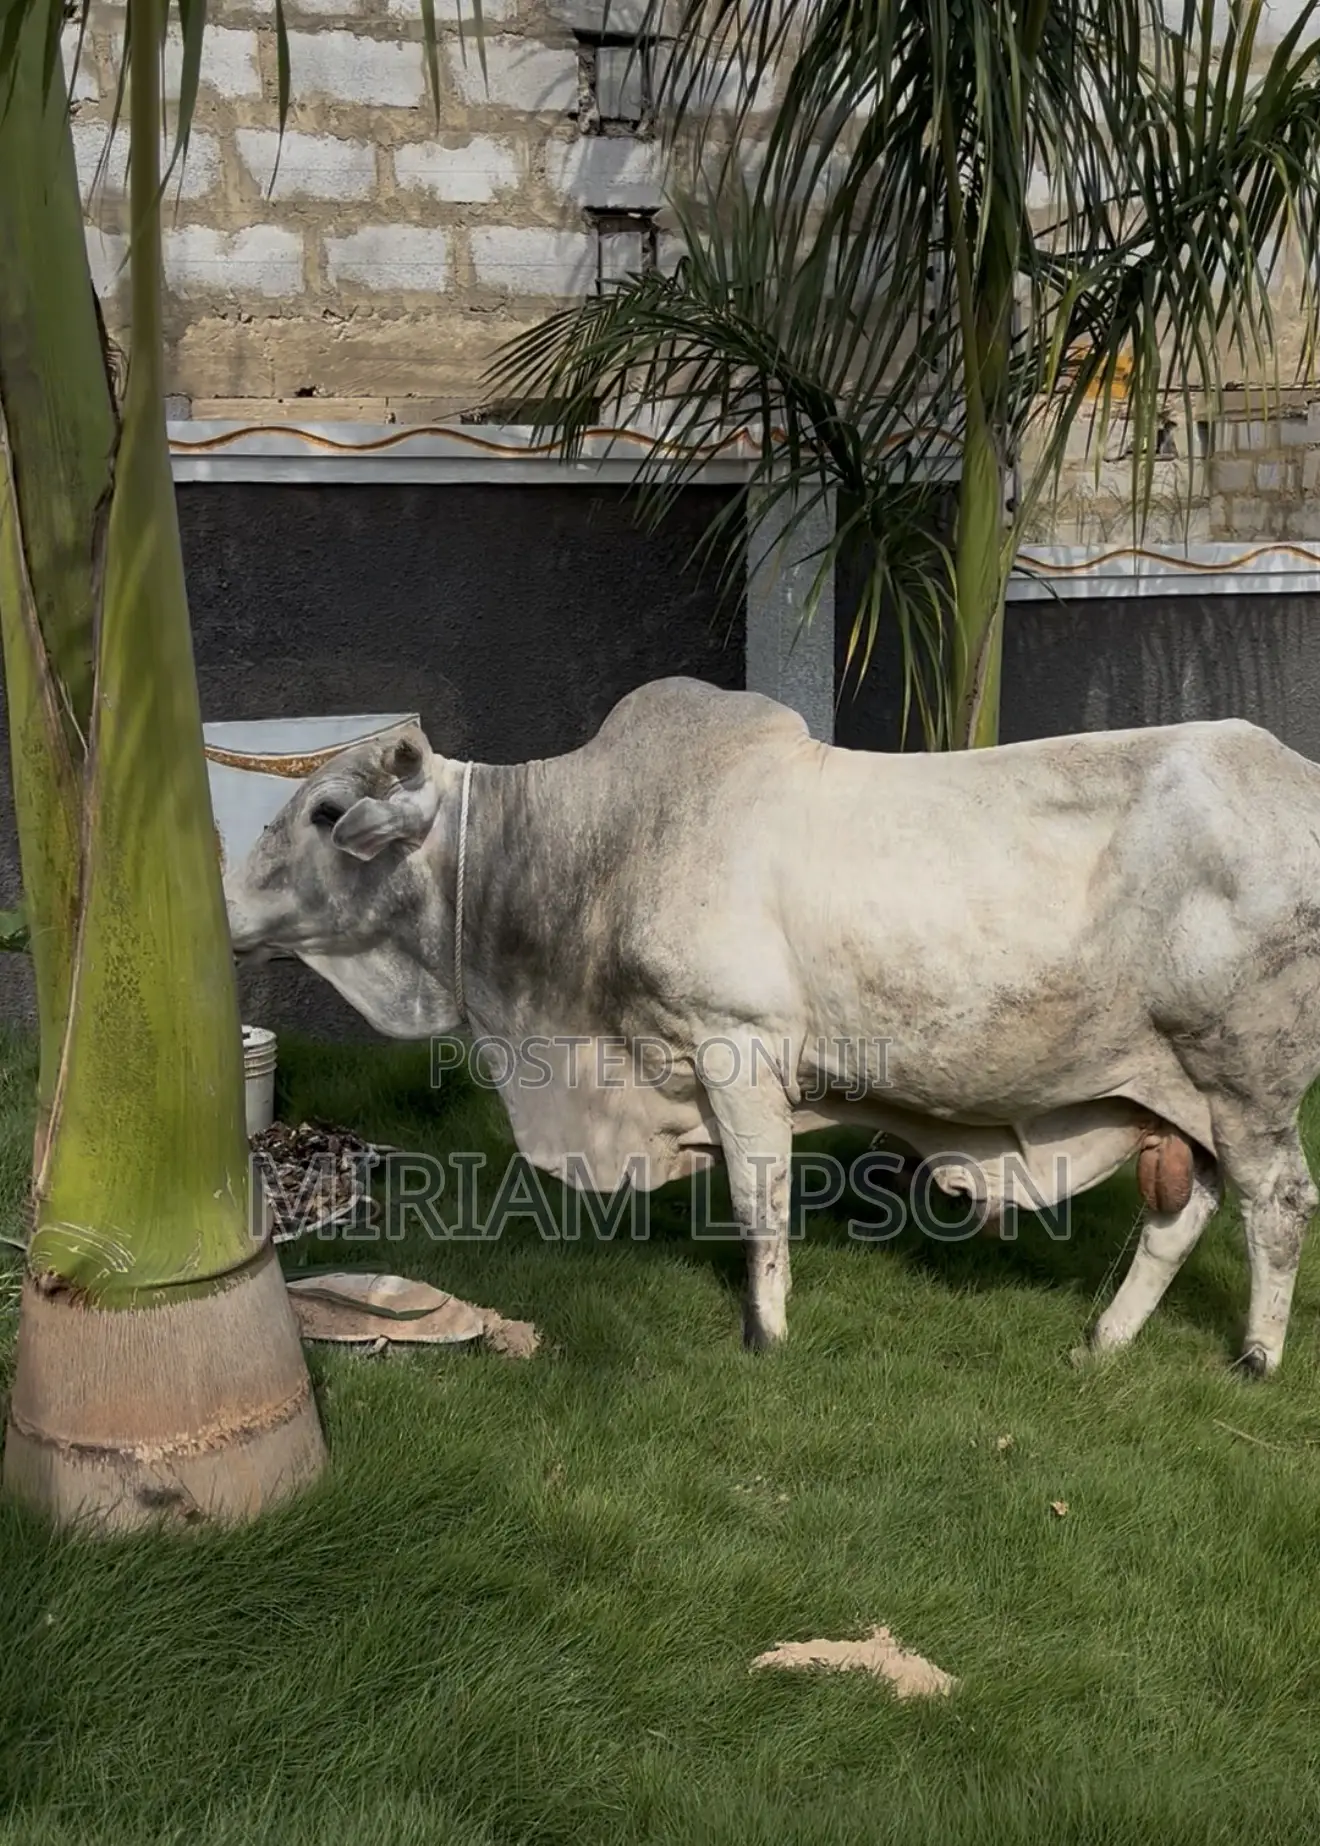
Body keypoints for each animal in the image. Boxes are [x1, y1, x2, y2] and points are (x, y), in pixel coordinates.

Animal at [223, 676, 1320, 1374]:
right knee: (1183, 1215)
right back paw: (1106, 1342)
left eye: (325, 813)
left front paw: (767, 1332)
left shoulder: (738, 1044)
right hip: (1180, 1094)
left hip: (1248, 1080)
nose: (221, 905)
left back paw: (1256, 1357)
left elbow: (759, 1199)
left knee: (1278, 1205)